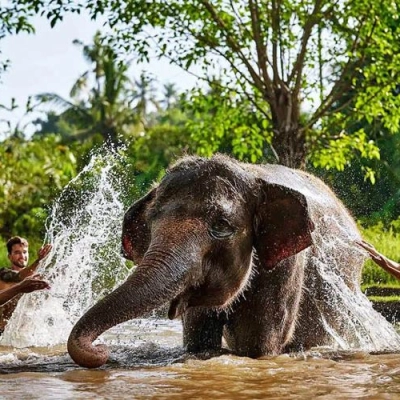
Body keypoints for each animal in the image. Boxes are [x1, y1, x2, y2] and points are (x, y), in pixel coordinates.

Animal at [67, 153, 364, 368]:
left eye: (221, 226)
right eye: (151, 221)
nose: (102, 349)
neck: (252, 174)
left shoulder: (286, 266)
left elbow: (256, 344)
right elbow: (199, 338)